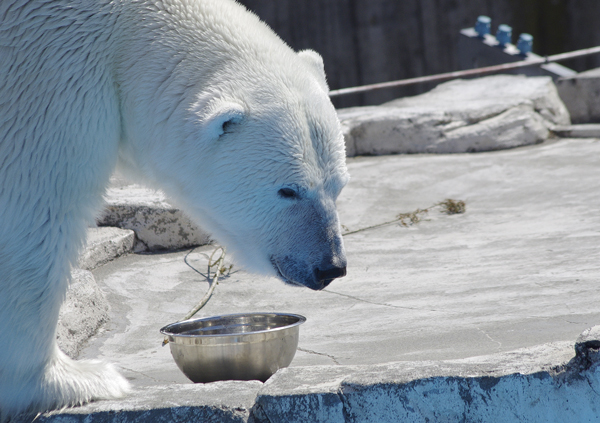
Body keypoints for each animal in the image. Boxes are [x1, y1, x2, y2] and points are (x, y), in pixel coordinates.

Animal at [0, 0, 350, 418]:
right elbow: (36, 207)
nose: (330, 266)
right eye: (288, 191)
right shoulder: (51, 78)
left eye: (338, 186)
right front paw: (71, 380)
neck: (124, 32)